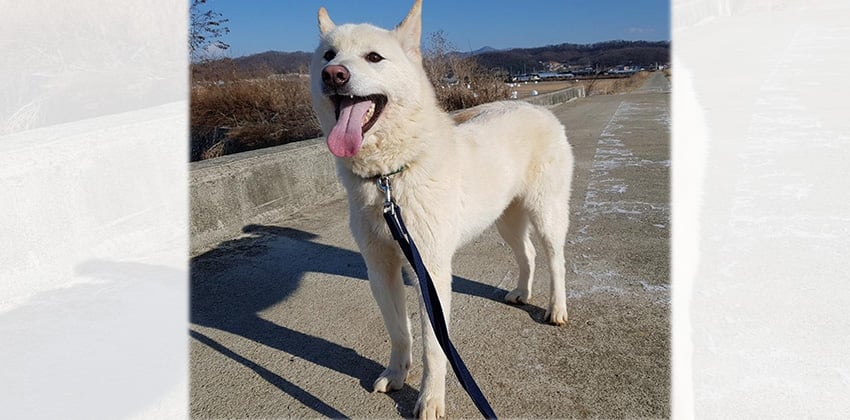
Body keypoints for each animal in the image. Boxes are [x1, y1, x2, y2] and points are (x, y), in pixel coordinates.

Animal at [308, 1, 572, 418]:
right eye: (329, 56)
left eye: (373, 57)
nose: (333, 75)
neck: (388, 177)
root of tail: (532, 107)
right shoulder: (380, 267)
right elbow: (399, 332)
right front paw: (396, 374)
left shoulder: (429, 268)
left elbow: (435, 347)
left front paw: (430, 400)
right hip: (506, 219)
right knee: (526, 253)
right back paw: (520, 292)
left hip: (546, 212)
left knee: (554, 260)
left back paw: (556, 309)